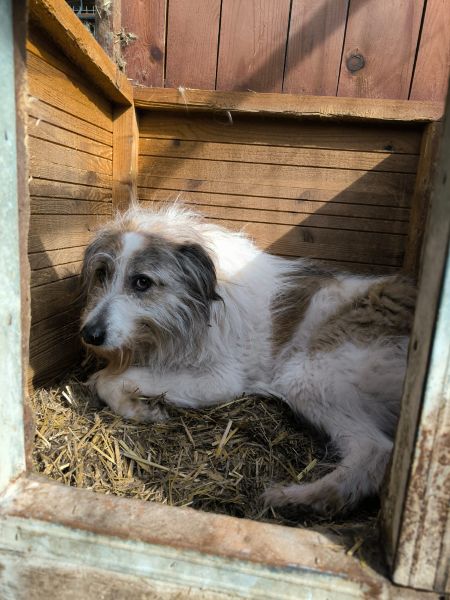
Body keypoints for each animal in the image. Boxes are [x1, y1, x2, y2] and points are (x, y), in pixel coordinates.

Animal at [80, 204, 415, 516]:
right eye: (102, 273)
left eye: (142, 282)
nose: (89, 334)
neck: (196, 306)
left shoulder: (219, 380)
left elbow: (107, 379)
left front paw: (140, 410)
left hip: (304, 377)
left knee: (375, 451)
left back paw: (297, 498)